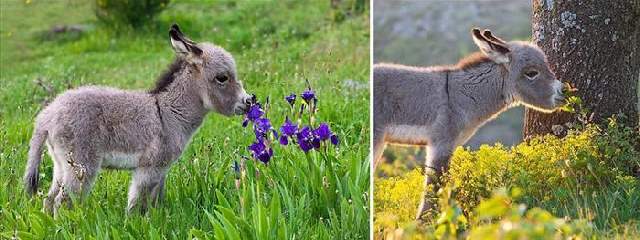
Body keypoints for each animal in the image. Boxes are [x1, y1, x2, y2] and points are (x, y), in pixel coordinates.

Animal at [25, 24, 255, 214]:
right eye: (222, 78)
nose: (250, 101)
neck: (168, 113)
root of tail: (47, 116)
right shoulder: (149, 168)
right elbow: (136, 204)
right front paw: (133, 224)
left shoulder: (161, 170)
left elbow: (154, 202)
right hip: (81, 165)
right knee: (62, 202)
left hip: (60, 164)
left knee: (49, 200)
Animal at [372, 29, 564, 220]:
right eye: (531, 73)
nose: (565, 91)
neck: (458, 96)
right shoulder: (441, 143)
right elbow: (433, 188)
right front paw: (425, 223)